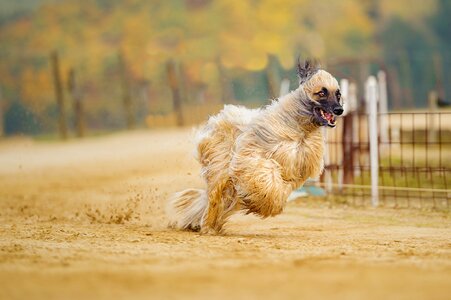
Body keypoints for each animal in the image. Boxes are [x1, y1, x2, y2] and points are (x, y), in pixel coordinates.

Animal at [168, 60, 344, 234]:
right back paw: (208, 225)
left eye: (338, 94)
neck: (300, 128)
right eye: (322, 92)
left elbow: (283, 186)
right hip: (220, 166)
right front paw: (263, 203)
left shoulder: (297, 169)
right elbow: (266, 174)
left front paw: (265, 203)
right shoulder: (253, 156)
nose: (339, 110)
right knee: (215, 197)